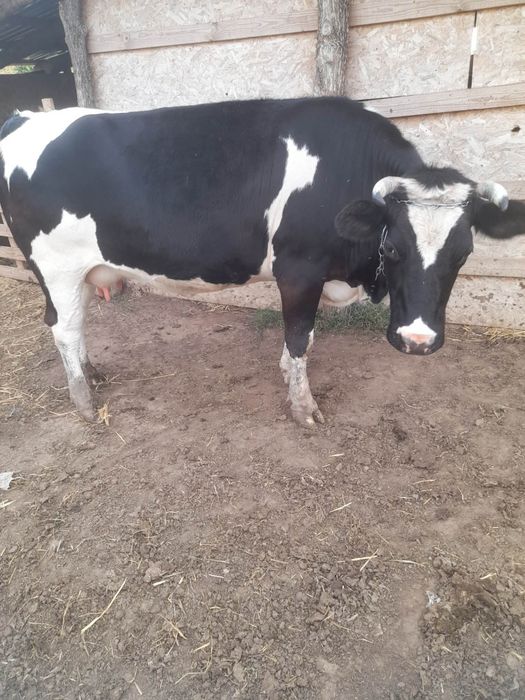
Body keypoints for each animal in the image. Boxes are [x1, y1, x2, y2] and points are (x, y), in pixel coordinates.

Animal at [0, 98, 523, 425]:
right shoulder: (299, 269)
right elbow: (300, 337)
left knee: (72, 323)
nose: (419, 341)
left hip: (78, 270)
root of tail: (22, 119)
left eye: (464, 253)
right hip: (55, 265)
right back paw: (85, 403)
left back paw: (90, 373)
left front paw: (288, 377)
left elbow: (302, 341)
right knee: (64, 328)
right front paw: (303, 407)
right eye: (392, 247)